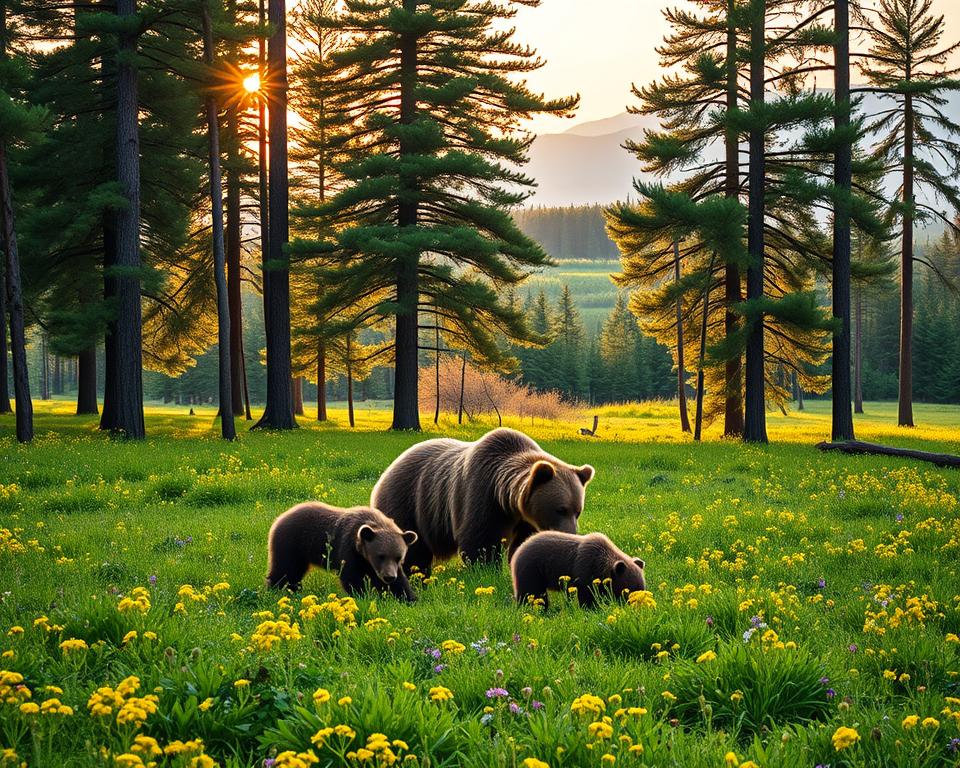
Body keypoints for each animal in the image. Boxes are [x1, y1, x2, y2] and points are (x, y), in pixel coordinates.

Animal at [266, 502, 419, 602]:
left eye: (399, 557)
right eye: (380, 556)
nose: (389, 577)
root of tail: (279, 518)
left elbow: (400, 582)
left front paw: (409, 597)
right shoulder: (348, 548)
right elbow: (351, 577)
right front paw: (364, 595)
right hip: (291, 543)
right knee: (285, 570)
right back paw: (276, 590)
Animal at [370, 427, 594, 575]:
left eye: (578, 511)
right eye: (560, 509)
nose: (571, 533)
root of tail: (387, 471)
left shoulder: (525, 518)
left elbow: (523, 543)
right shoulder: (482, 493)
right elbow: (480, 538)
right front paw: (485, 570)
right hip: (409, 502)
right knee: (413, 547)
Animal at [510, 531, 646, 608]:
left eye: (642, 587)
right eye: (630, 590)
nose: (639, 607)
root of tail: (517, 551)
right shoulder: (585, 569)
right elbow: (586, 594)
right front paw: (590, 608)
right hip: (532, 569)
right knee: (531, 592)